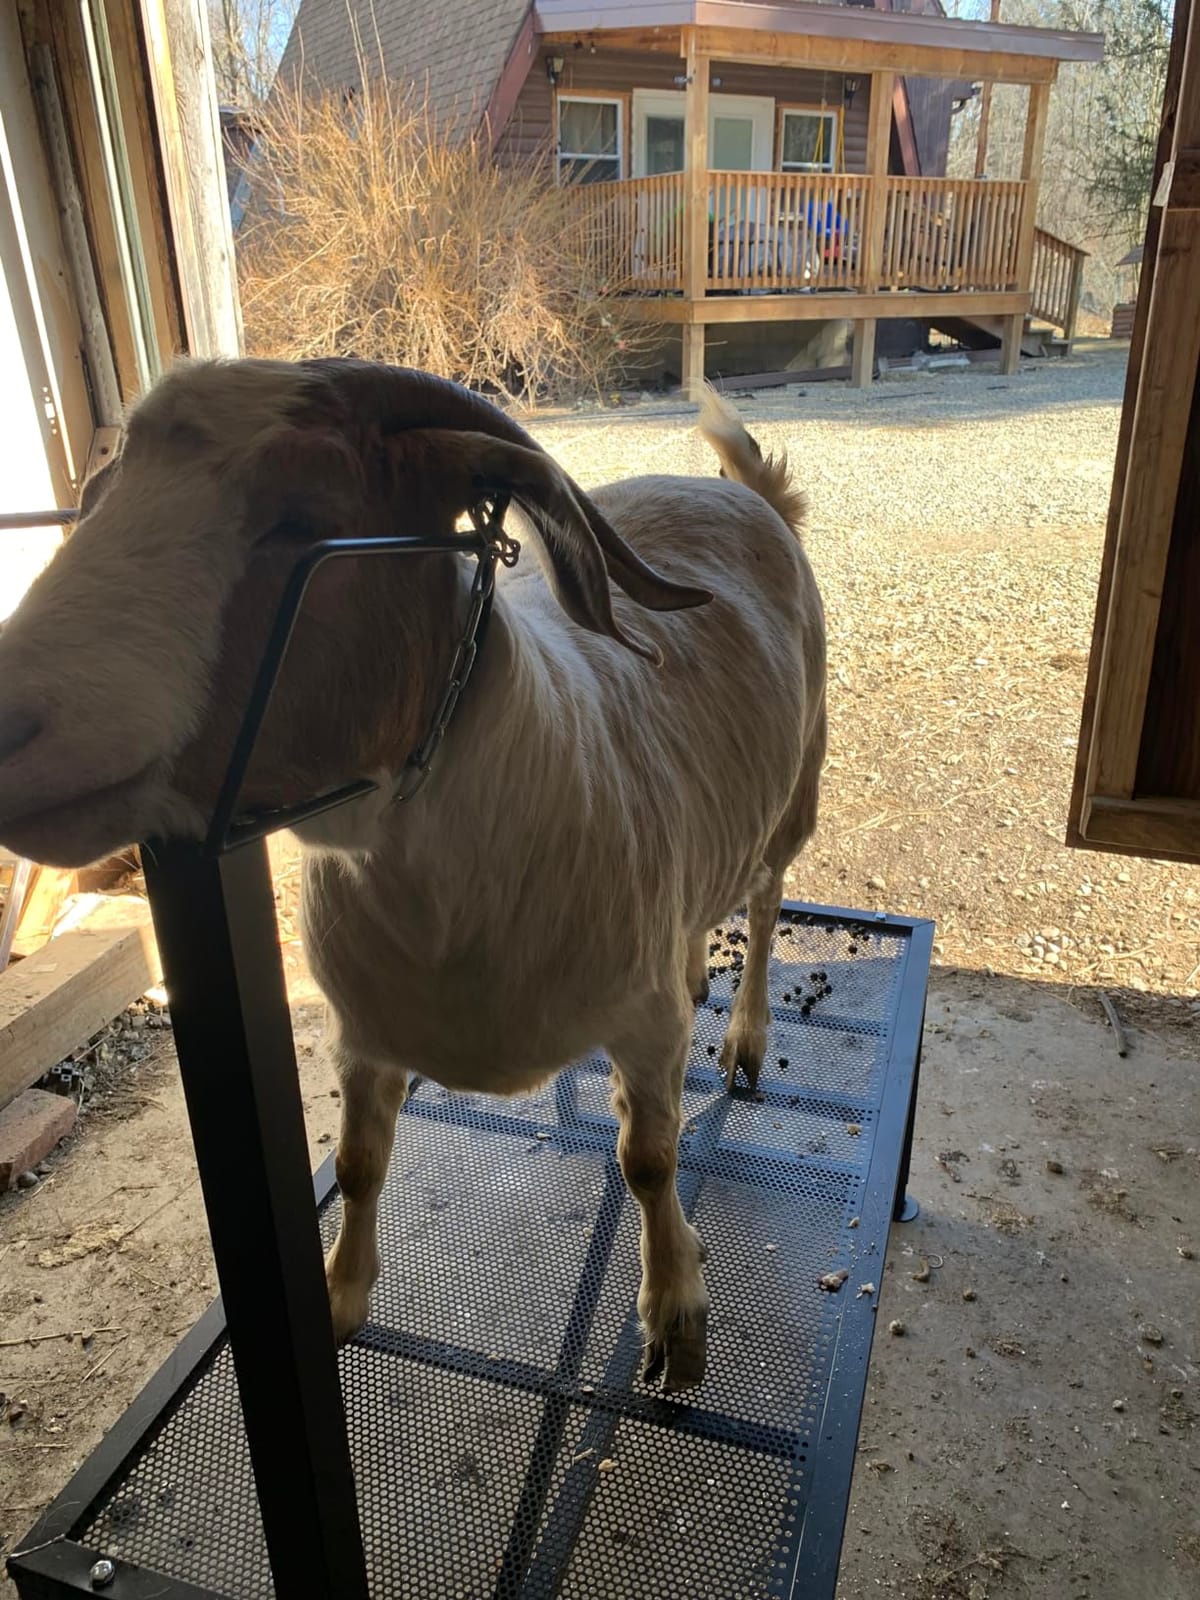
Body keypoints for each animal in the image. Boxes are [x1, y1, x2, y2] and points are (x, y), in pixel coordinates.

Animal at [0, 358, 826, 1392]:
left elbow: (650, 1158)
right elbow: (359, 1160)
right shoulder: (364, 1031)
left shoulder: (638, 1026)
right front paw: (341, 1297)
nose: (5, 719)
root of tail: (746, 494)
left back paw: (746, 1038)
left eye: (301, 516)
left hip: (798, 787)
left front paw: (674, 1315)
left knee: (764, 897)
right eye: (99, 495)